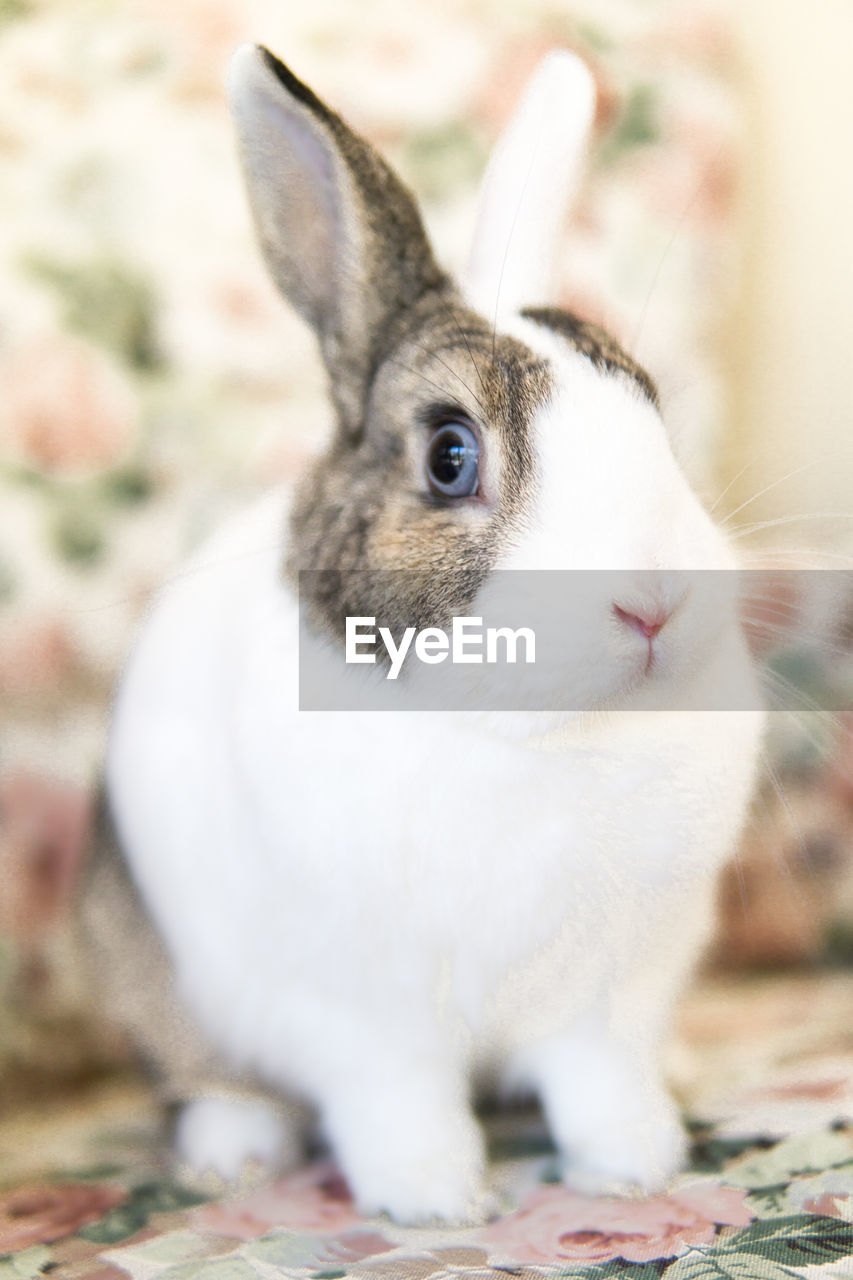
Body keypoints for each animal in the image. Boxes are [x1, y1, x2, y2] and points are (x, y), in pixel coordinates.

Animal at [81, 45, 763, 1223]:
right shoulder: (364, 1021)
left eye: (651, 408)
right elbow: (400, 1104)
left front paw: (635, 1164)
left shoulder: (607, 992)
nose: (654, 602)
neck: (528, 734)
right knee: (205, 1076)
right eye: (450, 454)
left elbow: (600, 1081)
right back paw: (233, 1149)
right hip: (145, 966)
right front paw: (434, 1199)